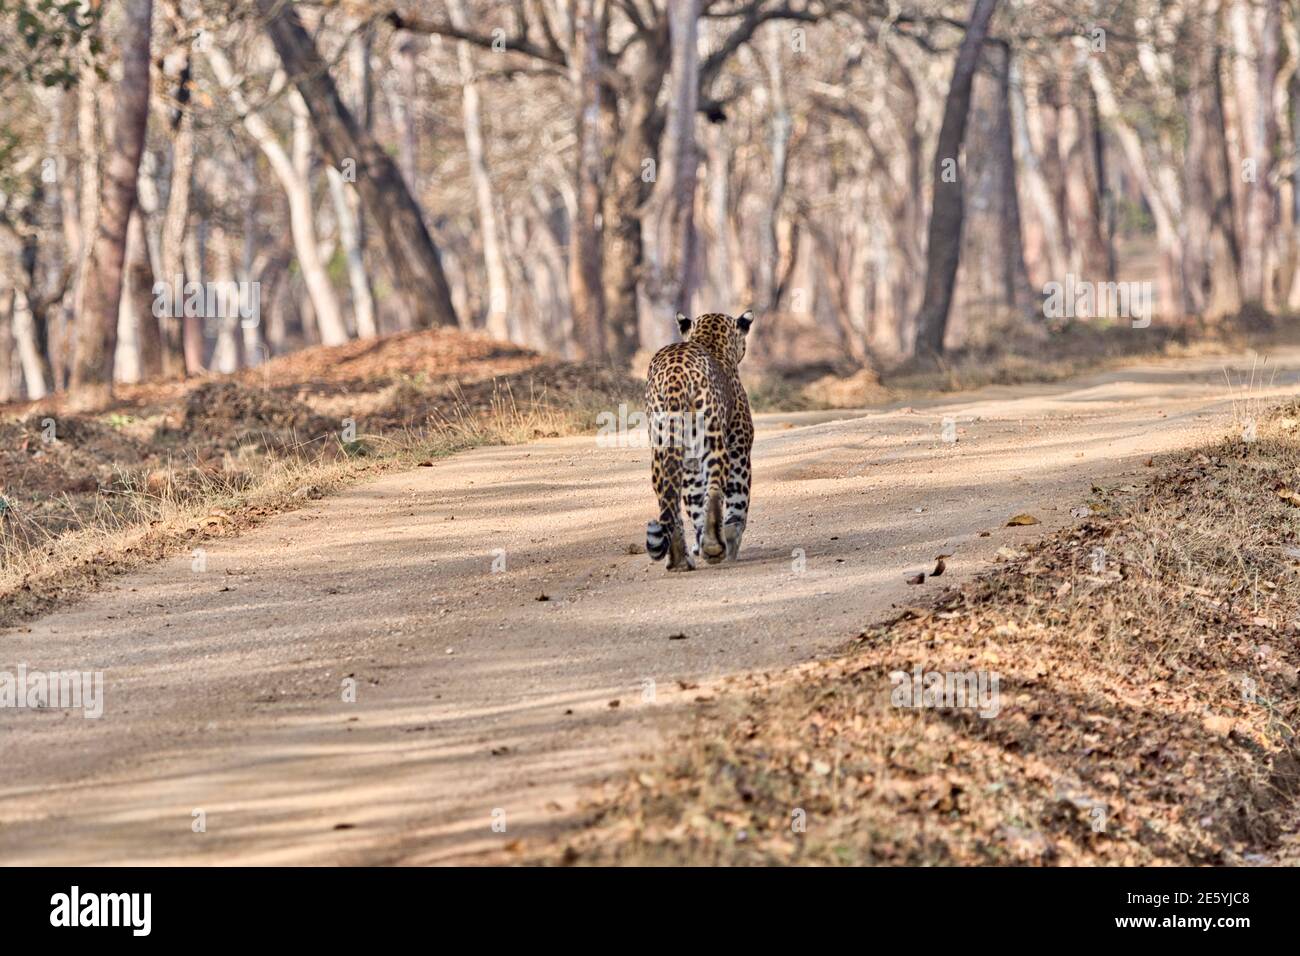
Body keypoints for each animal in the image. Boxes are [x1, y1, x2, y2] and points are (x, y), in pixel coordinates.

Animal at [644, 310, 755, 571]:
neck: (711, 340)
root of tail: (675, 376)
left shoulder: (690, 463)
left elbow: (693, 504)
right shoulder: (740, 449)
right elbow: (737, 501)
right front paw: (730, 537)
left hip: (662, 447)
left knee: (669, 500)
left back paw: (679, 560)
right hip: (713, 439)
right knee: (714, 490)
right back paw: (715, 546)